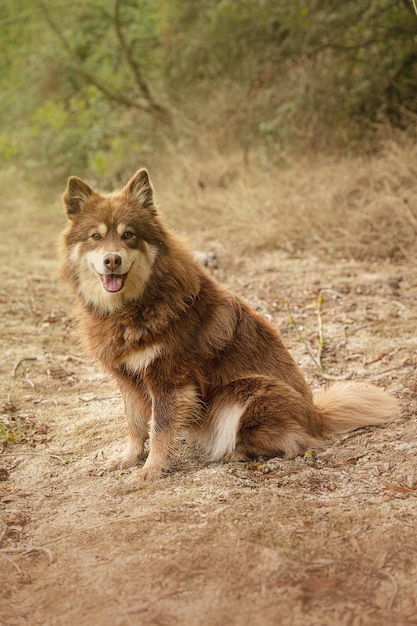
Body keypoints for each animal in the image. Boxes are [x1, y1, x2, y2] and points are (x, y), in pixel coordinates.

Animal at [58, 168, 396, 480]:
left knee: (296, 442)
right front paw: (128, 459)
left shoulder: (169, 381)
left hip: (246, 392)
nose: (112, 260)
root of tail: (316, 414)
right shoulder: (128, 378)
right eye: (96, 237)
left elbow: (159, 429)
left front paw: (150, 470)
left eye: (128, 235)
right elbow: (135, 424)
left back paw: (239, 452)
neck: (134, 304)